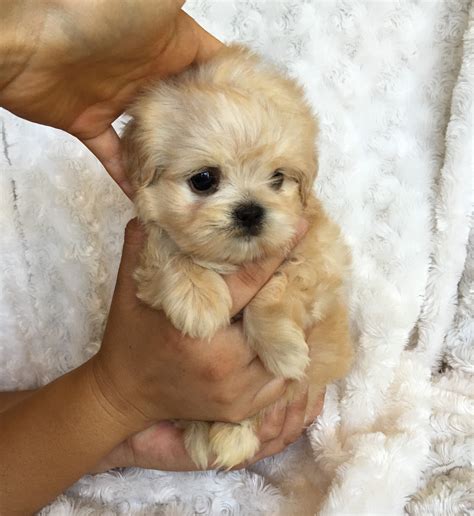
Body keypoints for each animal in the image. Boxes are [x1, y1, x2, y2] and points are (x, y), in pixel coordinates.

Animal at [122, 46, 352, 470]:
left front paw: (284, 350)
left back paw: (231, 436)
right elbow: (172, 254)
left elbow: (278, 288)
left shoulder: (320, 256)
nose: (250, 211)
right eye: (204, 179)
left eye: (278, 178)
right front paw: (199, 303)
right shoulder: (147, 256)